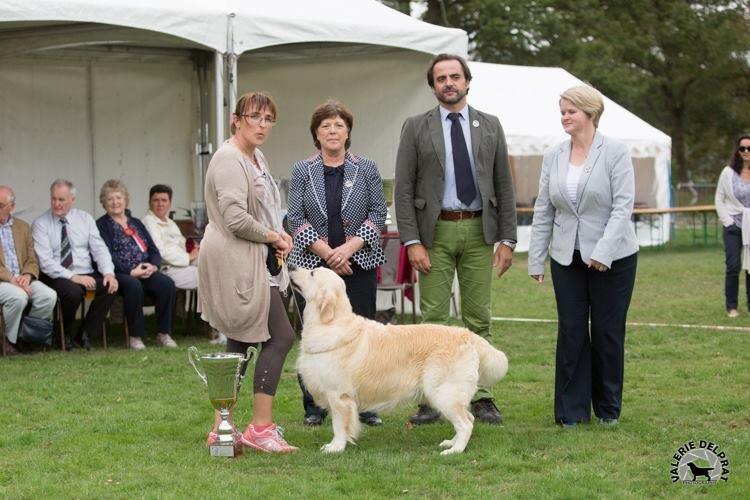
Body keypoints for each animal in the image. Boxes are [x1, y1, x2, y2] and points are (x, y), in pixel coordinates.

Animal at [290, 268, 512, 456]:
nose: (291, 266)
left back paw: (454, 451)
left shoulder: (339, 395)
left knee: (466, 423)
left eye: (312, 272)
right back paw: (451, 442)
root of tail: (467, 335)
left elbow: (338, 425)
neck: (330, 323)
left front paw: (335, 447)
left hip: (444, 392)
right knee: (468, 419)